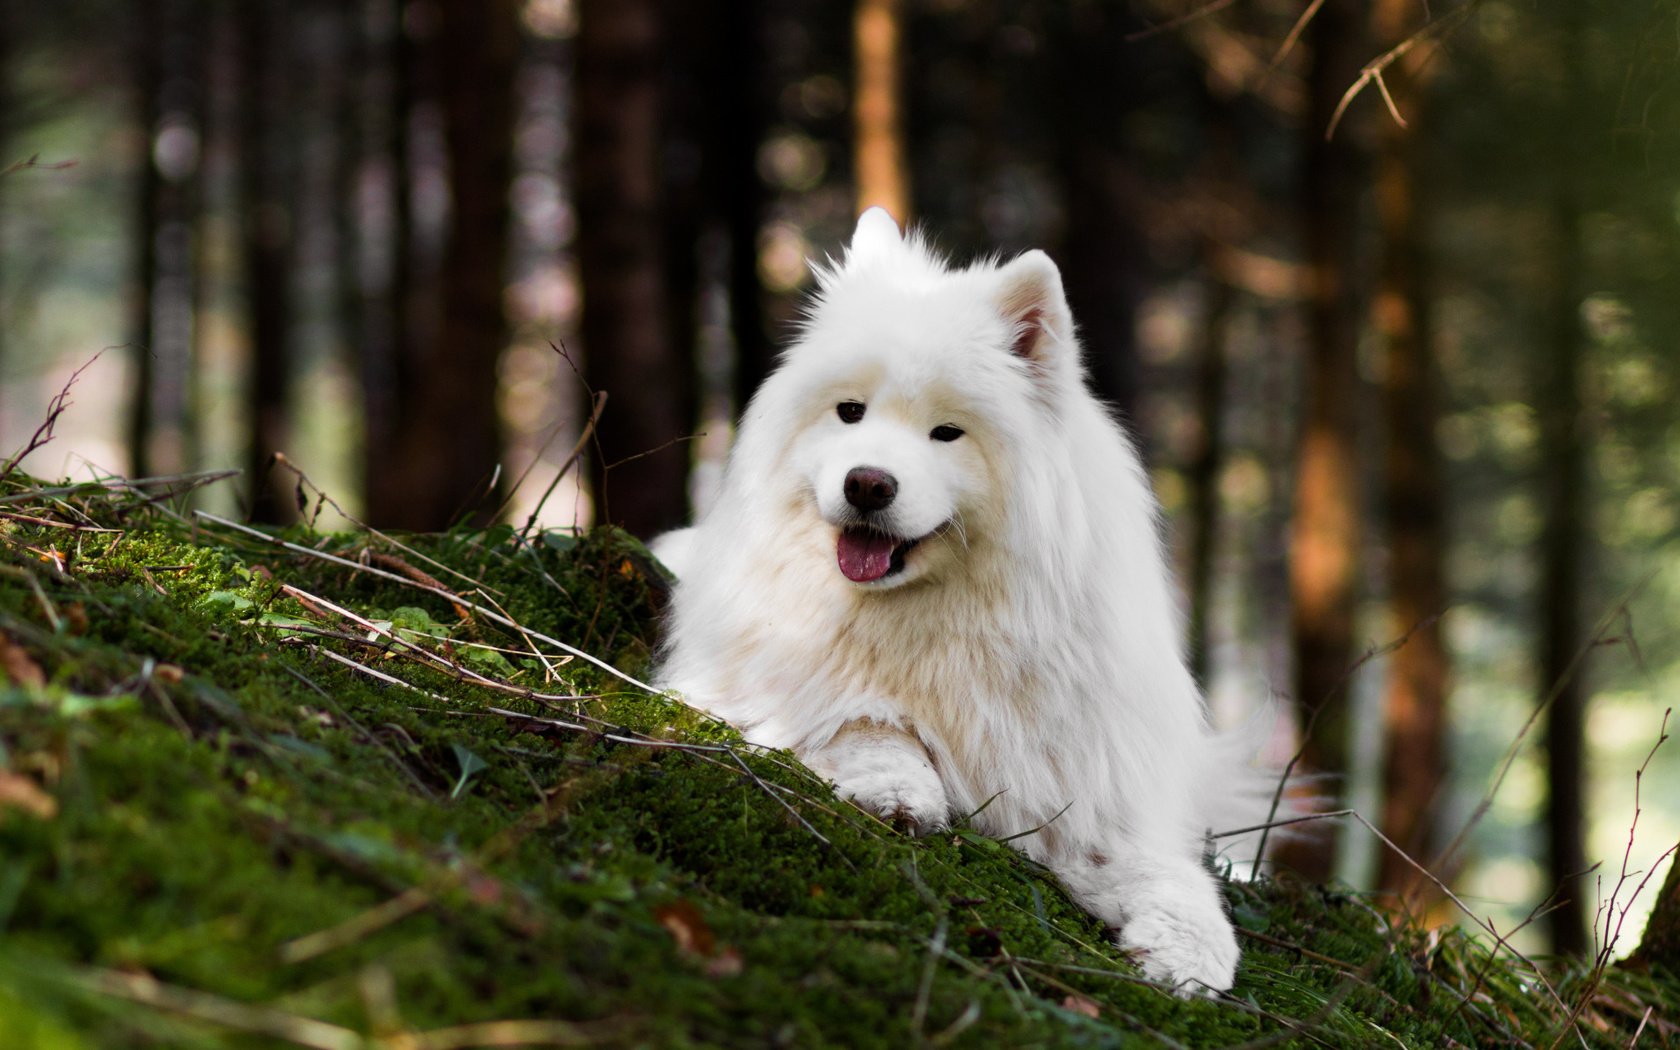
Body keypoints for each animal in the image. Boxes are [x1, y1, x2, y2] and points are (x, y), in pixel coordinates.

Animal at [648, 209, 1263, 994]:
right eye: (850, 412)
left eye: (947, 432)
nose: (867, 483)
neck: (940, 615)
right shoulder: (773, 684)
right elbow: (867, 720)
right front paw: (899, 789)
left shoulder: (1085, 792)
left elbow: (1173, 877)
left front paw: (1190, 953)